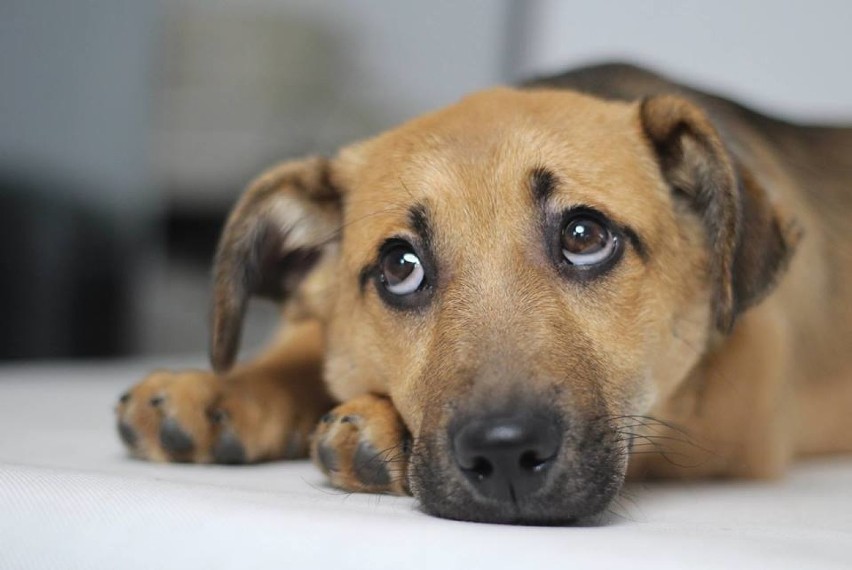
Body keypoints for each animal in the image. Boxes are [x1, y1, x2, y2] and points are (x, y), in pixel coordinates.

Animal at [115, 63, 852, 524]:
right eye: (399, 266)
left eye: (585, 235)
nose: (503, 456)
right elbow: (300, 352)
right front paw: (216, 389)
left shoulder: (736, 429)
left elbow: (647, 430)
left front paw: (378, 427)